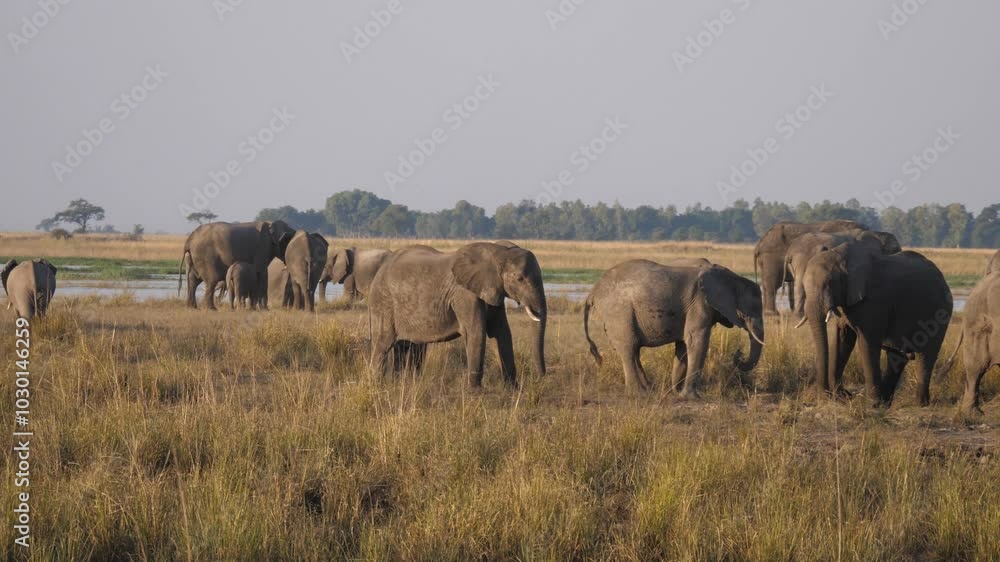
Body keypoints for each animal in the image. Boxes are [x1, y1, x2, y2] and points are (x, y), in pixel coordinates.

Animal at [367, 242, 547, 388]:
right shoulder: (464, 294)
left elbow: (502, 332)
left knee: (408, 347)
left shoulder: (493, 291)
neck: (498, 251)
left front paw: (512, 390)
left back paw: (401, 384)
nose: (541, 379)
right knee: (383, 344)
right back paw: (378, 384)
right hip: (383, 303)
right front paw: (475, 393)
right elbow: (476, 332)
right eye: (520, 279)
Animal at [584, 260, 764, 395]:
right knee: (628, 348)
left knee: (634, 350)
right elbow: (697, 341)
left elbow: (683, 346)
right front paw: (690, 397)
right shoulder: (699, 304)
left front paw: (675, 392)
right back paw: (638, 393)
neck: (731, 277)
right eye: (751, 310)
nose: (738, 354)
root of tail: (593, 291)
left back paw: (649, 389)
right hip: (618, 313)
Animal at [796, 239, 953, 406]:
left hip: (940, 312)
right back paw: (887, 402)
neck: (841, 256)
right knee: (897, 355)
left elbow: (867, 342)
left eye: (830, 283)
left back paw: (919, 403)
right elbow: (843, 339)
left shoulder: (872, 302)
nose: (825, 395)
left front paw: (871, 404)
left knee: (926, 355)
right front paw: (842, 397)